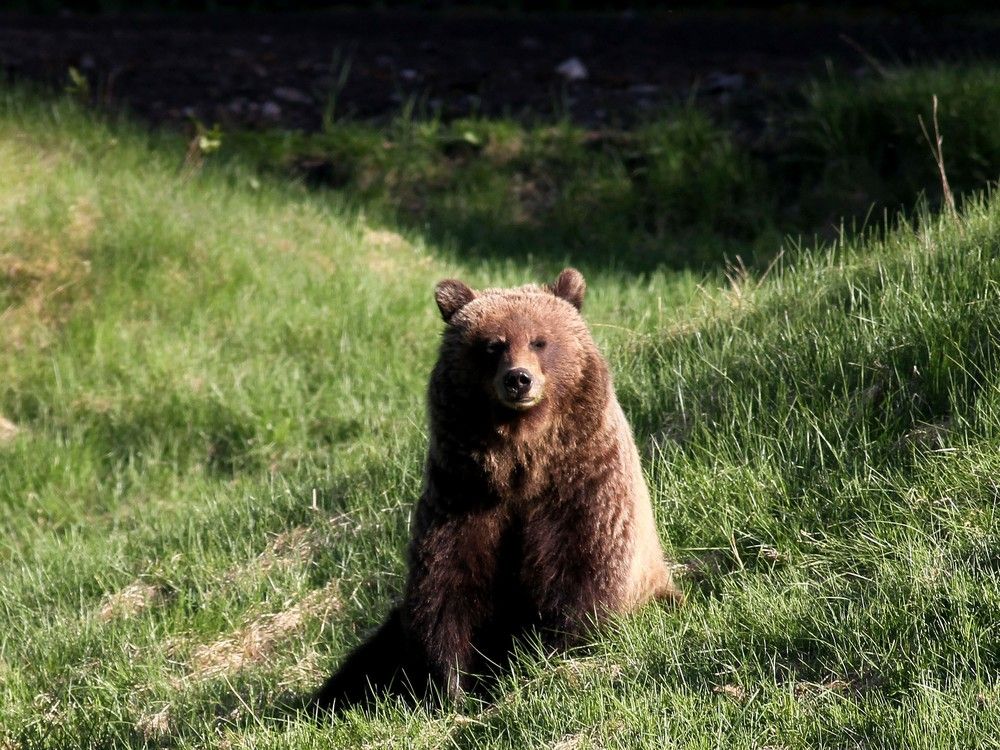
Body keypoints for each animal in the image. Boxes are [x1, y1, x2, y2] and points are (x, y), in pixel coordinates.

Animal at [312, 268, 684, 712]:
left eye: (540, 340)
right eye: (493, 344)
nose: (518, 379)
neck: (521, 467)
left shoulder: (582, 491)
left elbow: (586, 570)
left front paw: (549, 659)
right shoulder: (464, 497)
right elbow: (447, 589)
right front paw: (453, 688)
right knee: (368, 658)